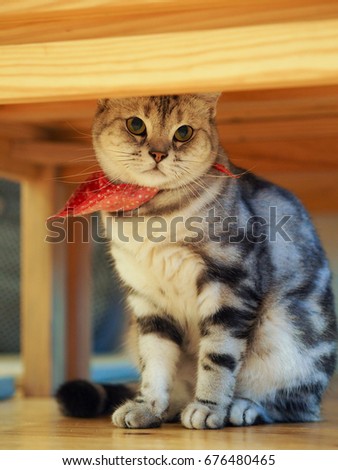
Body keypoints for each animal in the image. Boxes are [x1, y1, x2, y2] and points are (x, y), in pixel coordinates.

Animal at [56, 93, 336, 428]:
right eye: (136, 125)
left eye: (183, 132)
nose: (158, 153)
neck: (151, 216)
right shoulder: (148, 301)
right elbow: (154, 363)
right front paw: (147, 407)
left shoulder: (230, 286)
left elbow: (218, 356)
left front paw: (208, 408)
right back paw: (170, 409)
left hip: (287, 338)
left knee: (295, 406)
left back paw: (242, 408)